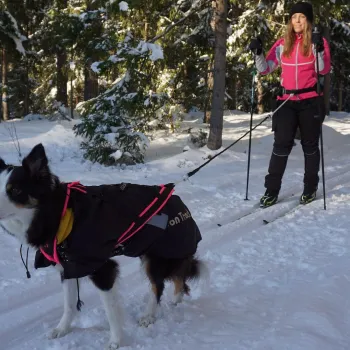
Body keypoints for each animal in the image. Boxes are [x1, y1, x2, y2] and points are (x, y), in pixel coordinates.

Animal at [0, 144, 205, 348]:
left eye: (15, 190)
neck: (59, 215)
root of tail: (181, 203)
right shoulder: (68, 267)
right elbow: (69, 304)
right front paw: (62, 329)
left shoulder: (102, 269)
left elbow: (111, 311)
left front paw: (115, 341)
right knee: (179, 277)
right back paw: (176, 299)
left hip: (156, 257)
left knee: (159, 285)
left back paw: (149, 315)